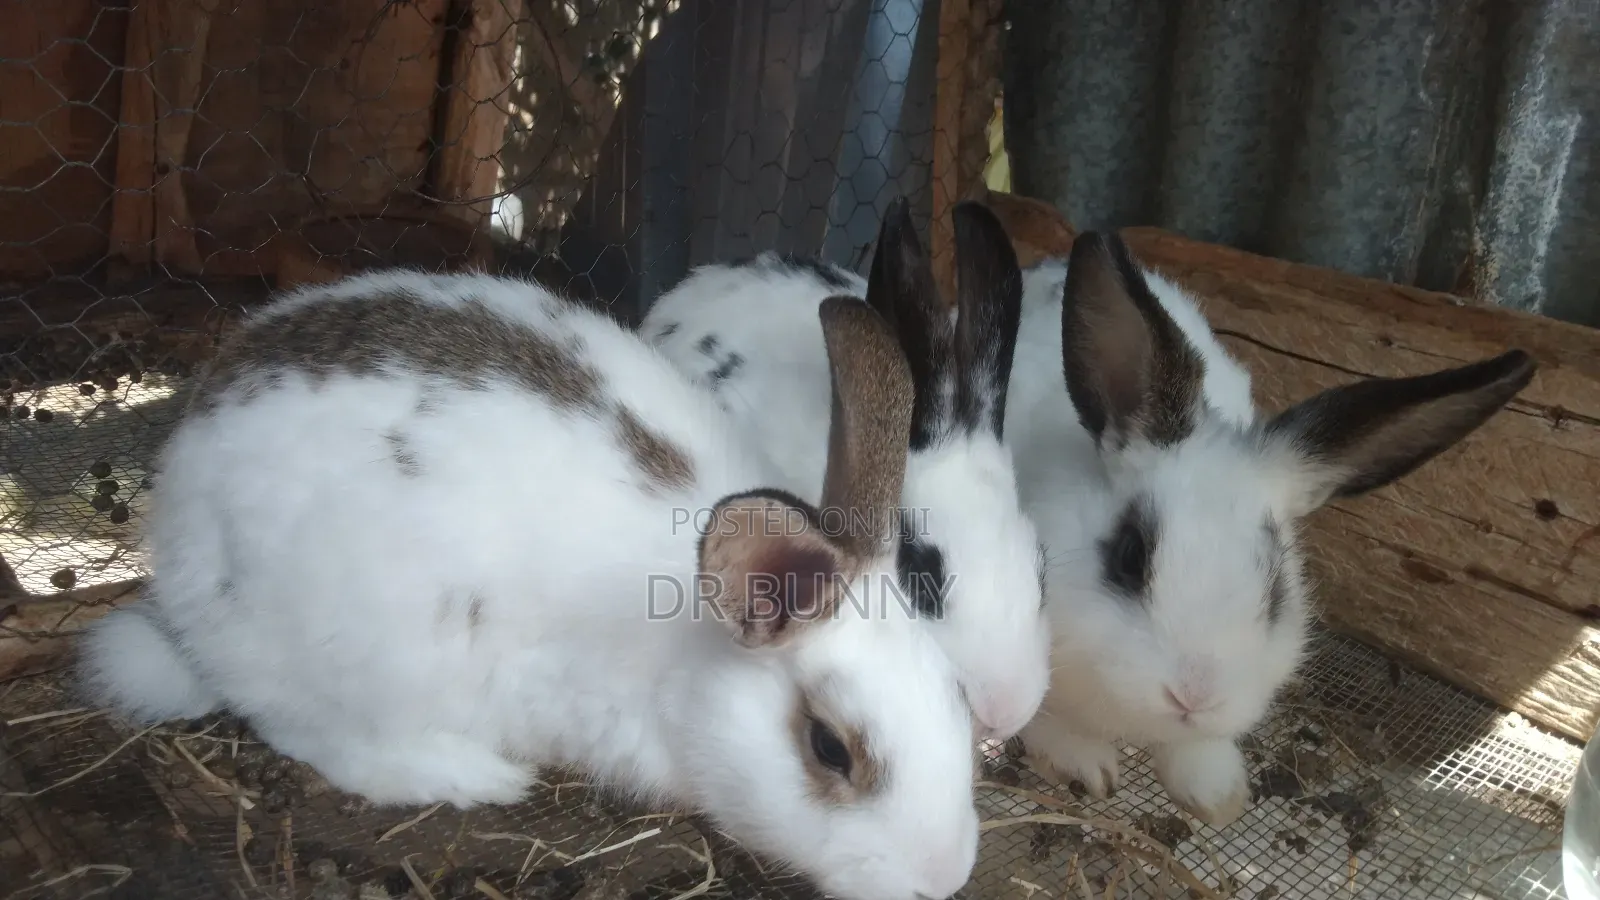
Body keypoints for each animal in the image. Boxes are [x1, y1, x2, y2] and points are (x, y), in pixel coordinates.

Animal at [75, 250, 985, 898]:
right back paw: (469, 774)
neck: (688, 659)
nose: (943, 879)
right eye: (831, 749)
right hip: (353, 654)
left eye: (954, 690)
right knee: (309, 732)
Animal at [1009, 230, 1537, 828]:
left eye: (1277, 587)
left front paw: (1217, 797)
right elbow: (1044, 715)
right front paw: (1084, 767)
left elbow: (1196, 751)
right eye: (1128, 556)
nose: (1193, 696)